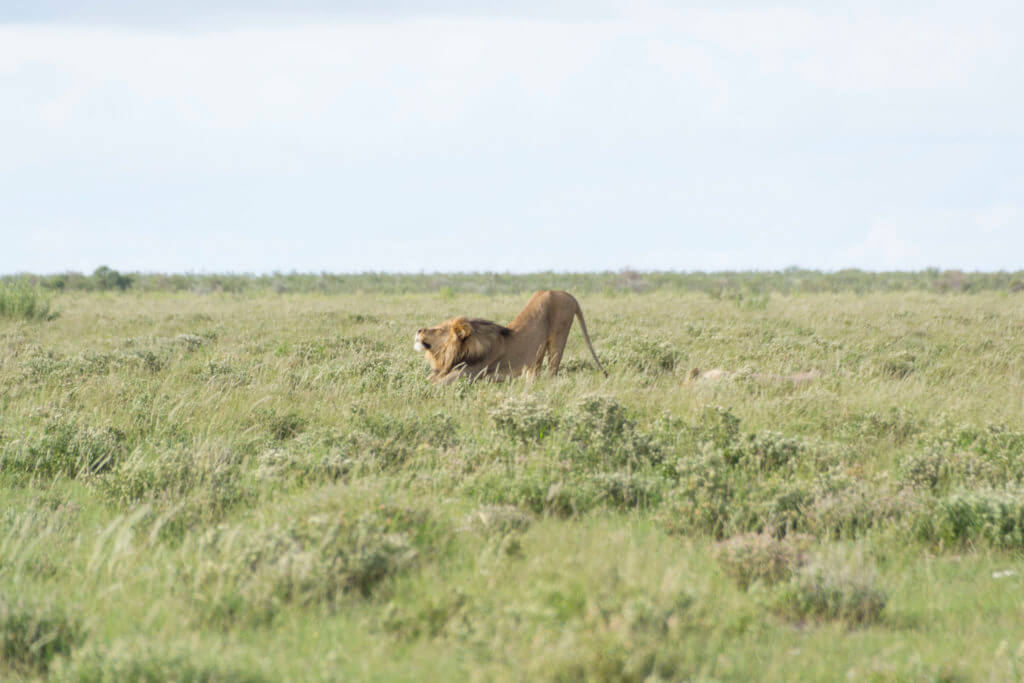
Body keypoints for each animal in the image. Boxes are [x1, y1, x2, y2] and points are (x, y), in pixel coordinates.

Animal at [413, 290, 606, 385]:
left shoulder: (470, 372)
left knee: (552, 371)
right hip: (538, 351)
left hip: (558, 337)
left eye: (437, 329)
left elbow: (437, 383)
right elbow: (431, 379)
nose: (418, 330)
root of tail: (568, 294)